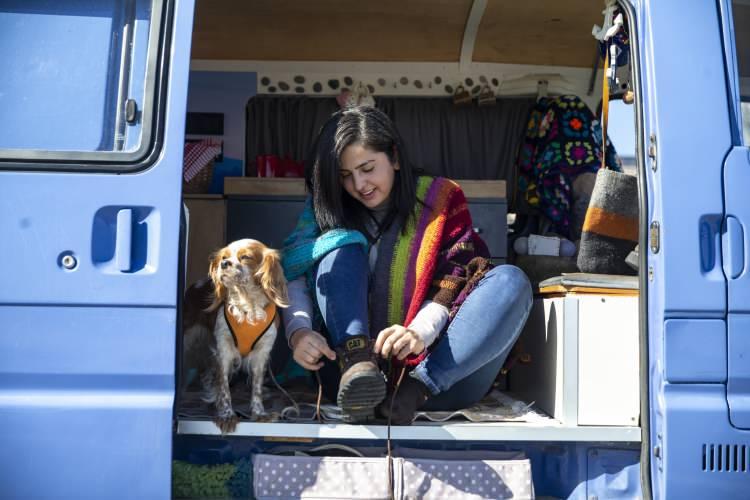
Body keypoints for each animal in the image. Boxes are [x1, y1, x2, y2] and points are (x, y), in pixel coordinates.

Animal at [182, 238, 288, 434]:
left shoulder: (261, 354)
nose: (223, 264)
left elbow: (256, 387)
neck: (248, 306)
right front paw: (226, 415)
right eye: (224, 257)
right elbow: (224, 387)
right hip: (188, 340)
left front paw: (259, 413)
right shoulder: (223, 351)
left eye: (245, 257)